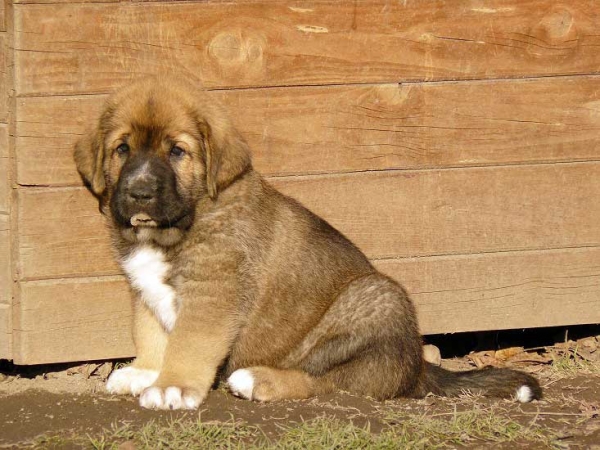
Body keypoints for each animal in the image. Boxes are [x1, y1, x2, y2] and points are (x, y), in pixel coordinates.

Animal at [72, 78, 540, 412]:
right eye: (122, 149)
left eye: (177, 152)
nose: (139, 193)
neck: (177, 225)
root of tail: (417, 368)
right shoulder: (144, 289)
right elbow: (150, 333)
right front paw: (147, 372)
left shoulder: (213, 294)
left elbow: (188, 343)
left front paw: (172, 386)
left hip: (375, 300)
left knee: (331, 382)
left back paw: (258, 379)